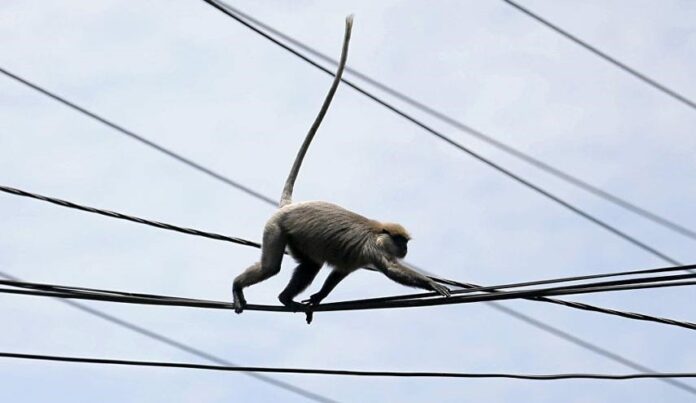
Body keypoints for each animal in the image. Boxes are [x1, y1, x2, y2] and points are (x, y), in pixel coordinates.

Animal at [232, 15, 450, 320]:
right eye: (401, 241)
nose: (405, 248)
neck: (377, 231)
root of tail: (290, 205)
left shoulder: (357, 258)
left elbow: (339, 273)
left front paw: (318, 298)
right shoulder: (374, 248)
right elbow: (391, 269)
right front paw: (430, 283)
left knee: (309, 265)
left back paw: (285, 298)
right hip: (275, 227)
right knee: (271, 267)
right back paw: (238, 286)